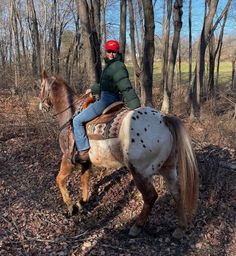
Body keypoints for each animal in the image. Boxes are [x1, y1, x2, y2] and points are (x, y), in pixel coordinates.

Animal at [39, 69, 199, 238]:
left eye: (41, 86)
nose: (41, 105)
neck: (71, 114)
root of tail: (164, 119)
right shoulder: (86, 161)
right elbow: (85, 180)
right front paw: (81, 202)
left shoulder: (68, 158)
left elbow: (60, 179)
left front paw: (70, 206)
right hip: (168, 167)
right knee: (176, 192)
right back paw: (180, 228)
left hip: (139, 172)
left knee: (150, 197)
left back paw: (137, 226)